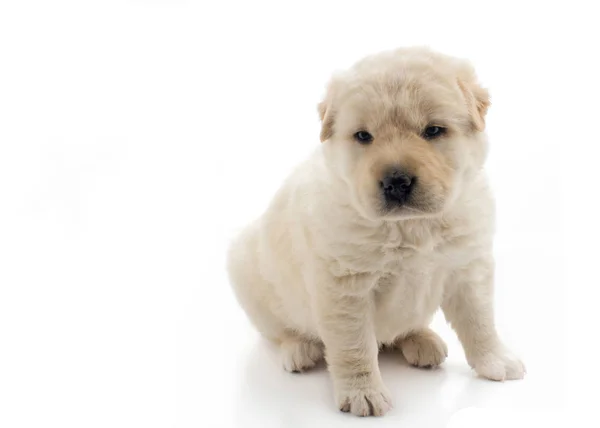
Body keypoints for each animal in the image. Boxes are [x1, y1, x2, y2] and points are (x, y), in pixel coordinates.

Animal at [227, 46, 524, 414]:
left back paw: (422, 341)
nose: (396, 182)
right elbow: (355, 347)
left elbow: (479, 321)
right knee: (283, 331)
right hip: (249, 278)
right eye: (363, 136)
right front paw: (363, 394)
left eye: (433, 131)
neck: (411, 226)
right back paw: (299, 350)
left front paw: (497, 361)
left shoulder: (468, 267)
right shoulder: (346, 288)